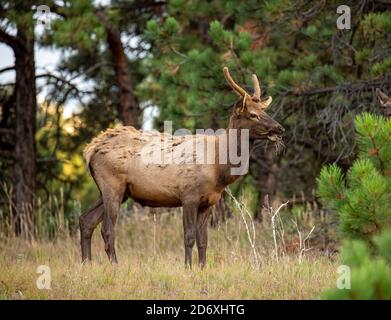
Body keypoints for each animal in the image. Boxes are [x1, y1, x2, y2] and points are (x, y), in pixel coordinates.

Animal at [79, 67, 284, 268]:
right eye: (253, 114)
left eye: (265, 111)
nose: (279, 128)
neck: (219, 169)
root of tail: (90, 149)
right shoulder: (189, 196)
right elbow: (189, 237)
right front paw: (188, 268)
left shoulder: (208, 202)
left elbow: (203, 240)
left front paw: (202, 268)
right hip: (112, 185)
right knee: (107, 228)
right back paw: (114, 265)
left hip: (118, 192)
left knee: (86, 220)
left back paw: (86, 264)